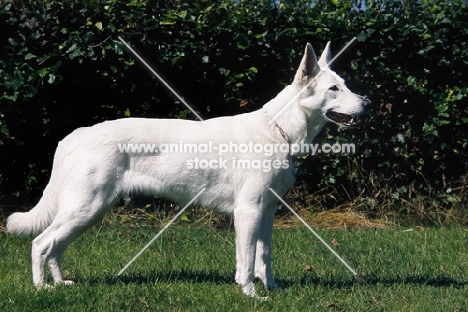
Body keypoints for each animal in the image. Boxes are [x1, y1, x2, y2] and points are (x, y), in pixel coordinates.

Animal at [3, 42, 370, 298]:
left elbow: (264, 257)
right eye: (334, 89)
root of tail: (71, 137)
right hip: (86, 208)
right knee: (40, 243)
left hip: (89, 212)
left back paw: (61, 283)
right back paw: (41, 289)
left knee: (55, 248)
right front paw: (251, 294)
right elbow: (247, 259)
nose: (368, 102)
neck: (277, 131)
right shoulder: (248, 211)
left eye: (345, 84)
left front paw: (273, 290)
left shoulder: (267, 212)